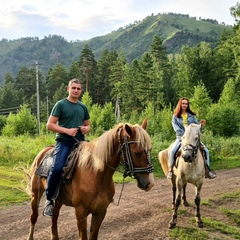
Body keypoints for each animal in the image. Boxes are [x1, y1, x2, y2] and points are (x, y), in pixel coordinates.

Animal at [26, 120, 154, 240]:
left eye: (150, 150)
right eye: (137, 153)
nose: (150, 184)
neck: (96, 175)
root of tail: (43, 151)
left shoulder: (100, 212)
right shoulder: (80, 213)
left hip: (58, 200)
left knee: (54, 217)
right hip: (35, 195)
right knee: (34, 217)